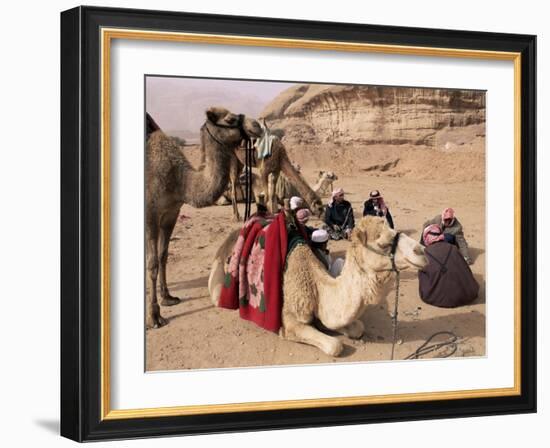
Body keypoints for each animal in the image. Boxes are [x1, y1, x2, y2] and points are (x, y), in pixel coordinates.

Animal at [147, 107, 264, 328]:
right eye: (230, 119)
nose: (257, 126)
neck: (180, 180)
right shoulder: (150, 213)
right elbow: (152, 263)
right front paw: (154, 317)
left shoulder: (171, 213)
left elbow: (163, 255)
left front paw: (168, 298)